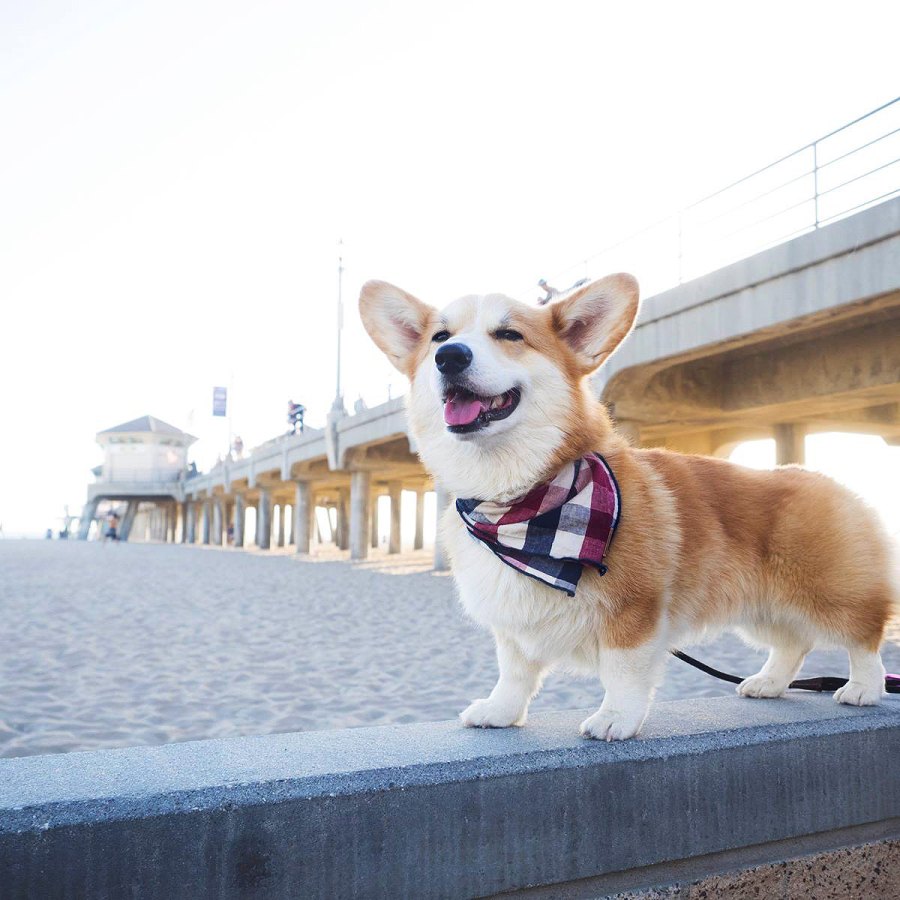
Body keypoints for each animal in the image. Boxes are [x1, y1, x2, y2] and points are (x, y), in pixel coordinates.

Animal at [356, 278, 892, 740]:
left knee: (864, 637)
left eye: (509, 335)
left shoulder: (634, 611)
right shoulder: (513, 622)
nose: (449, 357)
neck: (516, 502)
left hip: (830, 597)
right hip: (761, 609)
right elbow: (514, 672)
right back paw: (768, 683)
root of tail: (836, 484)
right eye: (439, 337)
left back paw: (863, 688)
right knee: (793, 644)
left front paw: (615, 718)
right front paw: (501, 712)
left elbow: (622, 671)